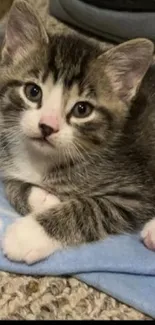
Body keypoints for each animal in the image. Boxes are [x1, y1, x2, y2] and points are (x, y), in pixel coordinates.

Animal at [0, 0, 155, 264]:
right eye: (33, 92)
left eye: (82, 109)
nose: (47, 126)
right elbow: (10, 181)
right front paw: (42, 199)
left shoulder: (136, 192)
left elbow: (90, 208)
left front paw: (28, 234)